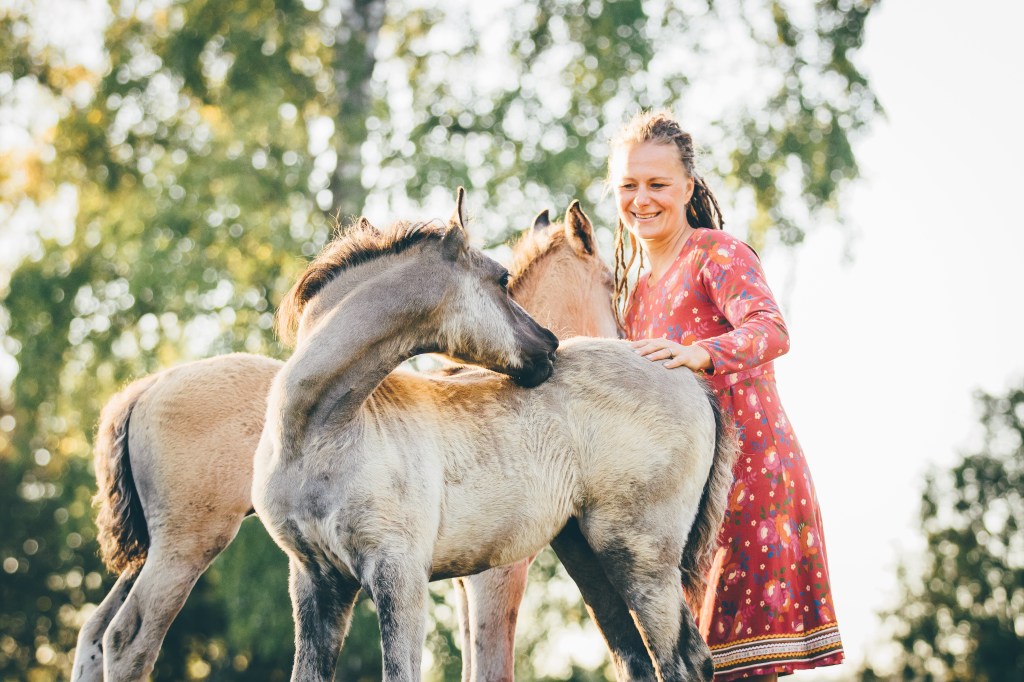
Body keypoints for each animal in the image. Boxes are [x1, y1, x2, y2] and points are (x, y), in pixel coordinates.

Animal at [72, 197, 623, 681]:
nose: (550, 345)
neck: (318, 424)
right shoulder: (488, 574)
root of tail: (145, 387)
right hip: (186, 544)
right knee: (128, 637)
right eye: (501, 279)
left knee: (96, 631)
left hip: (153, 548)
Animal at [252, 188, 736, 682]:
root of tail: (687, 376)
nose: (550, 345)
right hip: (590, 557)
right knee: (643, 658)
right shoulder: (317, 583)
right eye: (501, 279)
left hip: (641, 558)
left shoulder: (403, 576)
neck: (320, 434)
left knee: (679, 660)